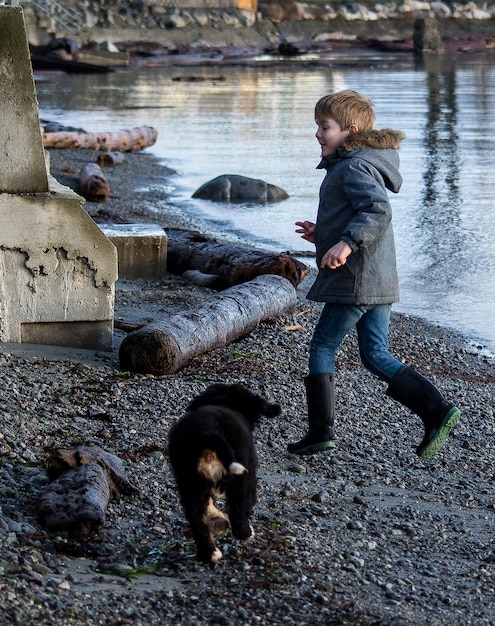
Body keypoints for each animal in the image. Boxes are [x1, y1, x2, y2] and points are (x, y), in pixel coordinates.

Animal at [168, 380, 280, 560]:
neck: (223, 402)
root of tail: (205, 433)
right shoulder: (250, 476)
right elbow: (242, 504)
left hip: (189, 483)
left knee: (196, 518)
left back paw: (209, 553)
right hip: (240, 477)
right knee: (237, 509)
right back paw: (245, 533)